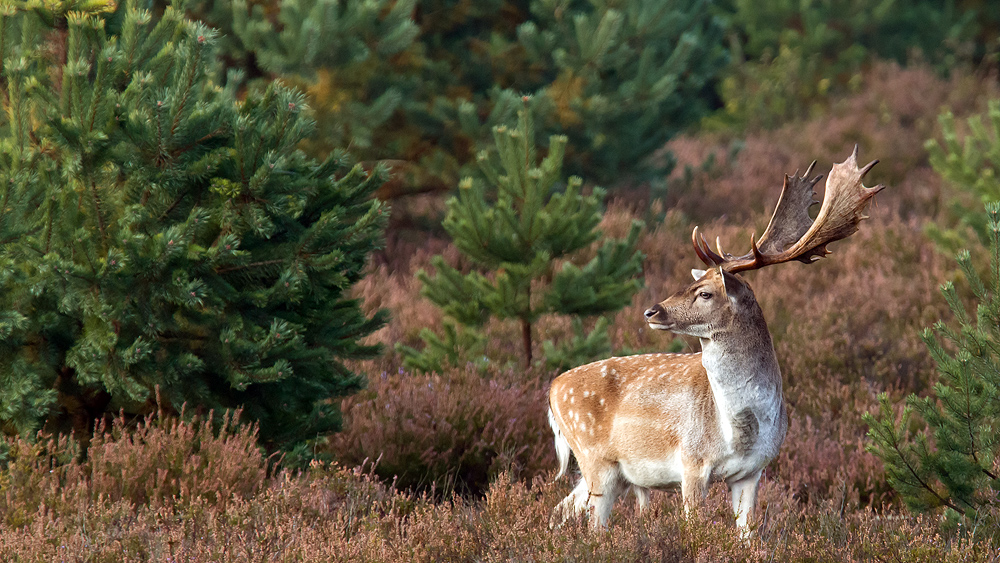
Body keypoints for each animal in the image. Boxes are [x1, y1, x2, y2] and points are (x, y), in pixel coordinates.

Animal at [548, 145, 884, 532]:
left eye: (705, 293)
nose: (651, 311)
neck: (738, 431)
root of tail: (552, 390)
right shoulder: (691, 462)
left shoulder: (753, 472)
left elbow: (748, 534)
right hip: (594, 459)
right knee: (592, 527)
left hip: (610, 474)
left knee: (559, 512)